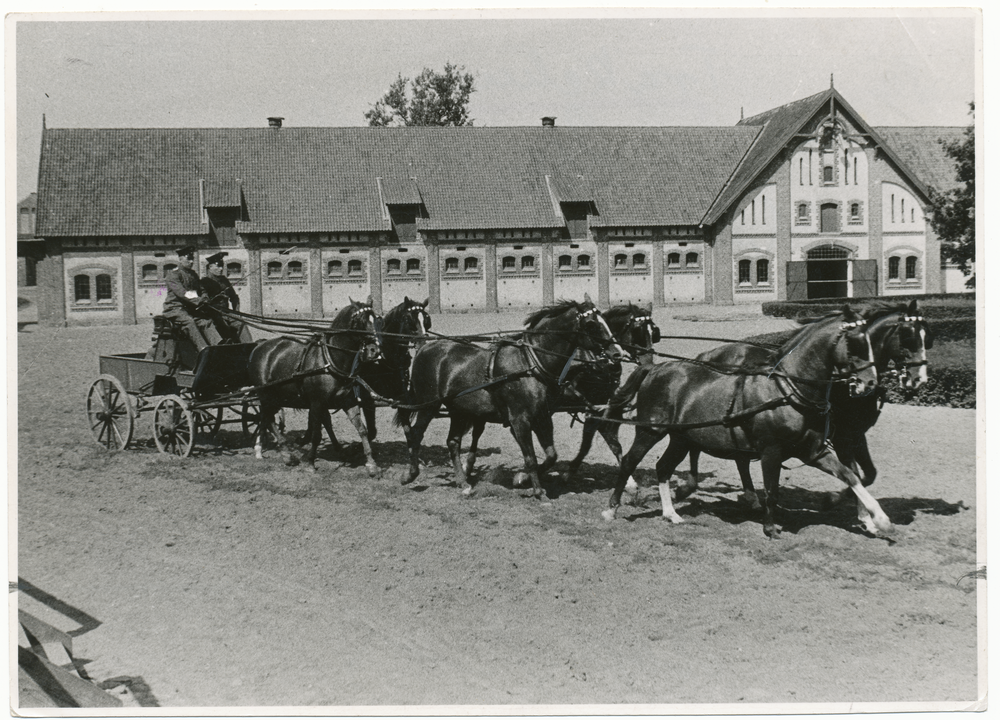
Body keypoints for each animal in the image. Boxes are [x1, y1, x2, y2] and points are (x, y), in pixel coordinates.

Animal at [248, 298, 384, 478]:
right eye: (359, 322)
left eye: (377, 320)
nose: (374, 350)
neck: (331, 359)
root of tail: (260, 345)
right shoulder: (317, 403)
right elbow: (317, 434)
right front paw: (310, 462)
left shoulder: (347, 401)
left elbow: (362, 430)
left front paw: (371, 464)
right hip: (266, 394)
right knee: (269, 418)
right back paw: (286, 454)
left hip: (275, 396)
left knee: (265, 416)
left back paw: (263, 448)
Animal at [392, 296, 620, 498]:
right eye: (591, 323)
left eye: (605, 320)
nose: (616, 353)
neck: (530, 364)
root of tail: (425, 347)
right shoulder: (519, 420)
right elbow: (530, 458)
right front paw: (538, 492)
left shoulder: (542, 417)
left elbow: (551, 455)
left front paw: (522, 478)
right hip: (428, 405)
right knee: (415, 434)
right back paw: (410, 474)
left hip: (458, 410)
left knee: (453, 442)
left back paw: (463, 483)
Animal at [568, 302, 660, 478]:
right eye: (637, 331)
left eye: (654, 332)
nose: (648, 363)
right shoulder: (594, 404)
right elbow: (593, 439)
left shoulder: (603, 403)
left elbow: (606, 440)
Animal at [600, 306, 892, 536]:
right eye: (855, 342)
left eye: (871, 341)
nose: (870, 383)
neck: (787, 389)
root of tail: (655, 368)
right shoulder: (771, 450)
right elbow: (772, 490)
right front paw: (770, 527)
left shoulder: (813, 451)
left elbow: (851, 476)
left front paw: (878, 518)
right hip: (650, 430)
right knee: (629, 461)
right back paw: (611, 509)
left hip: (682, 437)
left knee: (663, 467)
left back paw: (670, 513)